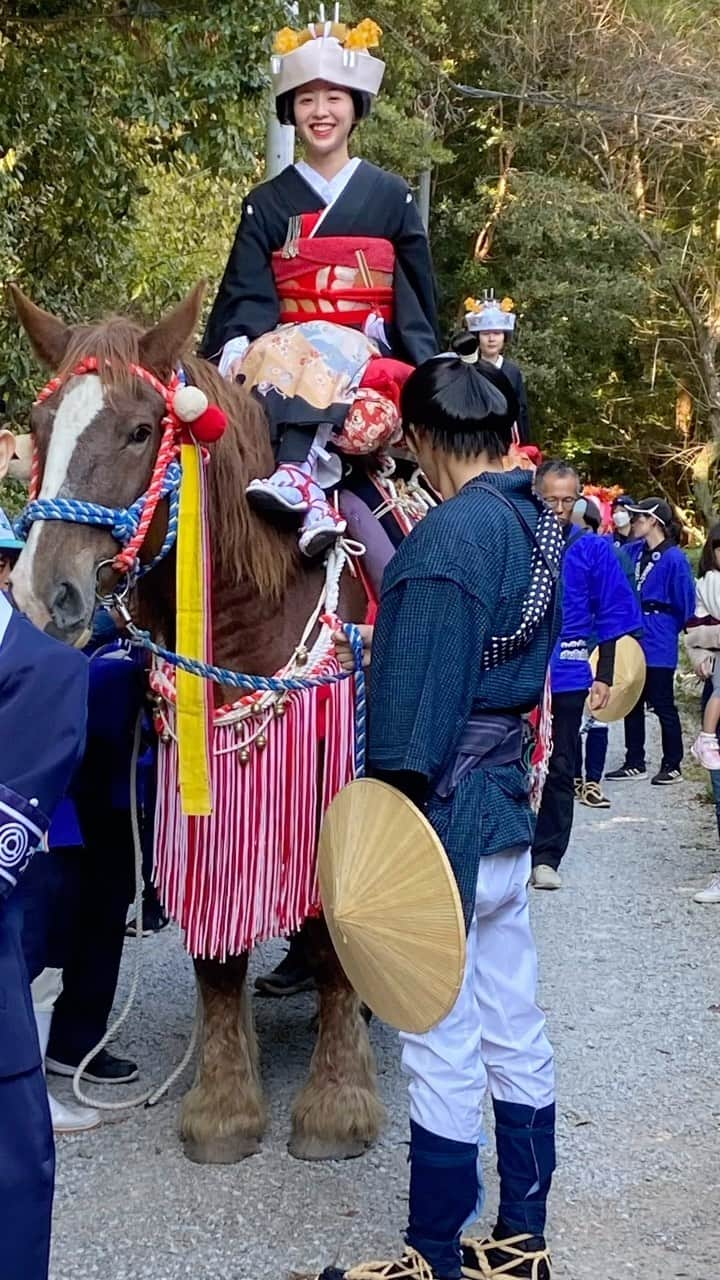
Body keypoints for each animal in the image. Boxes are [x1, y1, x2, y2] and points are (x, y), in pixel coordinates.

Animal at [9, 285, 381, 1167]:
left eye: (142, 431)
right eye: (39, 427)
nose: (45, 592)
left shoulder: (336, 773)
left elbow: (337, 928)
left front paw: (336, 1102)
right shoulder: (196, 783)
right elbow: (216, 953)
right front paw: (224, 1105)